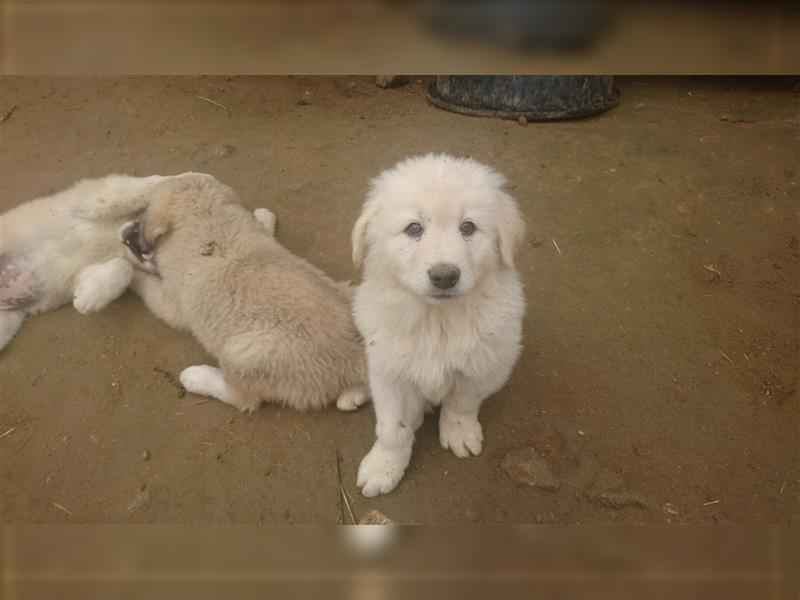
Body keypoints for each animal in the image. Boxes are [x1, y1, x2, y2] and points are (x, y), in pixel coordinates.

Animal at [0, 172, 196, 352]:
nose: (154, 253)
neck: (113, 236)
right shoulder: (96, 198)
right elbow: (143, 187)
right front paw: (189, 176)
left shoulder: (84, 271)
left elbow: (121, 268)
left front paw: (89, 297)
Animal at [127, 173, 368, 412]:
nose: (131, 231)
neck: (209, 222)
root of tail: (355, 357)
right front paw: (263, 216)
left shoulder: (172, 306)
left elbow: (149, 288)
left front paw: (130, 273)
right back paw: (353, 396)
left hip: (242, 355)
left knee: (244, 397)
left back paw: (196, 377)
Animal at [350, 155, 524, 496]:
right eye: (414, 228)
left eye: (468, 227)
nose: (445, 276)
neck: (436, 319)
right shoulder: (390, 372)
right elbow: (391, 428)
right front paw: (383, 467)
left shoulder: (479, 366)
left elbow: (461, 403)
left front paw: (459, 433)